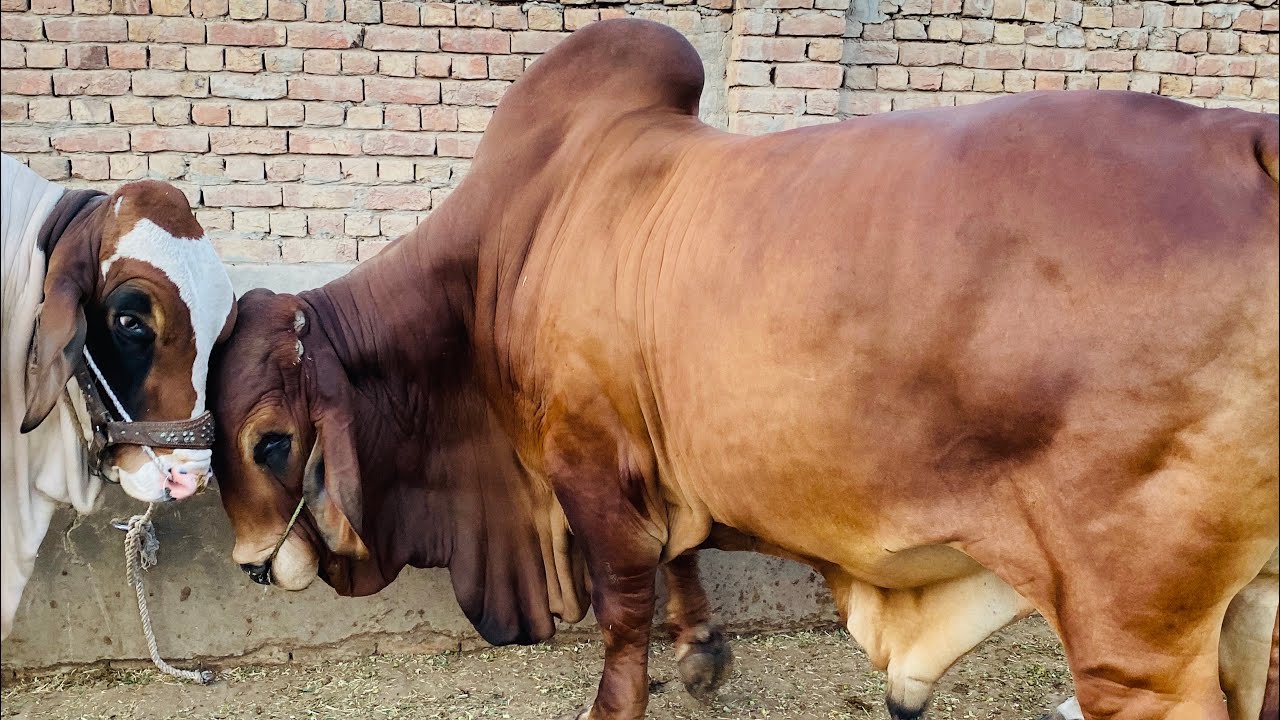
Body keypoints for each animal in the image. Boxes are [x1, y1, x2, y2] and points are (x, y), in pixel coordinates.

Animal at [206, 19, 1279, 720]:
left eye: (270, 441)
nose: (250, 566)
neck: (507, 254)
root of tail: (1251, 139)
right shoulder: (658, 462)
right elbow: (683, 558)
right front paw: (705, 658)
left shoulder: (588, 467)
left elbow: (624, 610)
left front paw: (624, 699)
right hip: (1249, 597)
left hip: (1135, 634)